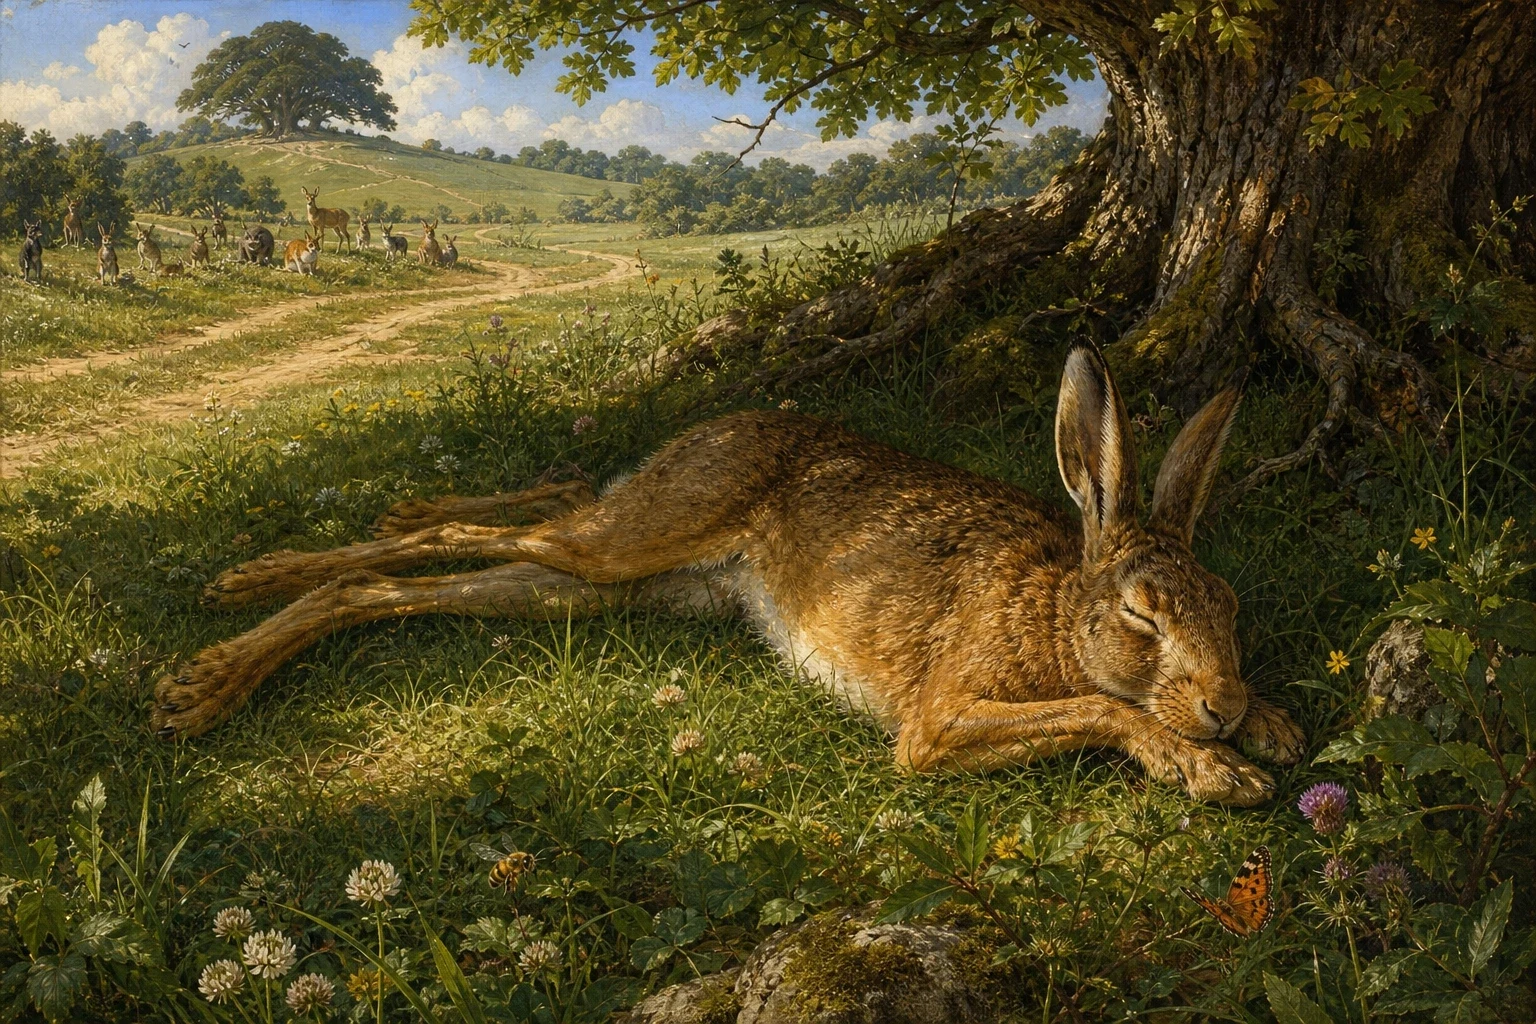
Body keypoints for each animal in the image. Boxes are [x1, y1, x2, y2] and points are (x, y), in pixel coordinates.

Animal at [152, 346, 1303, 805]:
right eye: (1142, 616)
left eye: (1231, 608)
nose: (1224, 699)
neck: (1060, 612)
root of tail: (701, 434)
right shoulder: (939, 723)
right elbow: (1104, 712)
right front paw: (1219, 770)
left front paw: (1274, 730)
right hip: (629, 540)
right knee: (455, 543)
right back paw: (223, 645)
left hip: (603, 583)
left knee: (440, 571)